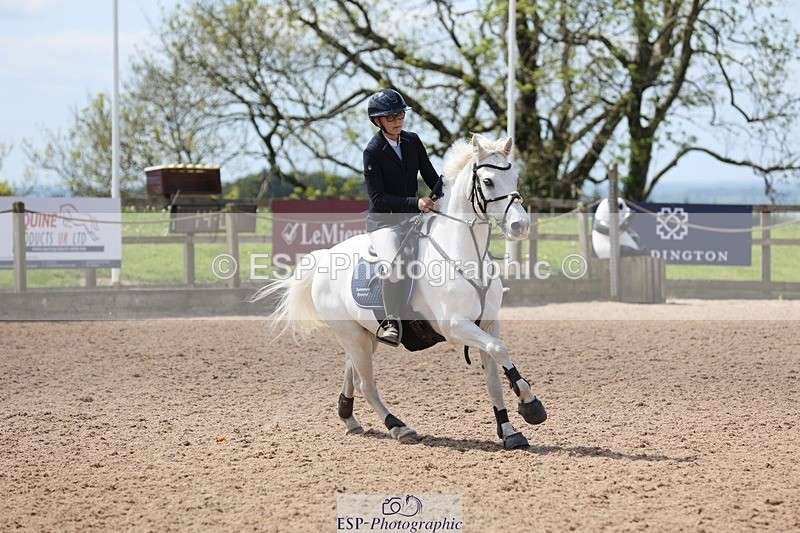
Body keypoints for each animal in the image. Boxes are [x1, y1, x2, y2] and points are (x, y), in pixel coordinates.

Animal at [253, 134, 547, 450]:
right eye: (489, 182)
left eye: (516, 178)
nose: (520, 226)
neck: (465, 253)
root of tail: (324, 257)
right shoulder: (455, 326)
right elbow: (499, 349)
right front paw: (530, 404)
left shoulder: (489, 322)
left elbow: (494, 377)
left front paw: (509, 431)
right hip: (351, 334)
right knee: (366, 384)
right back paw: (398, 426)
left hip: (364, 334)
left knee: (350, 368)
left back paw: (349, 417)